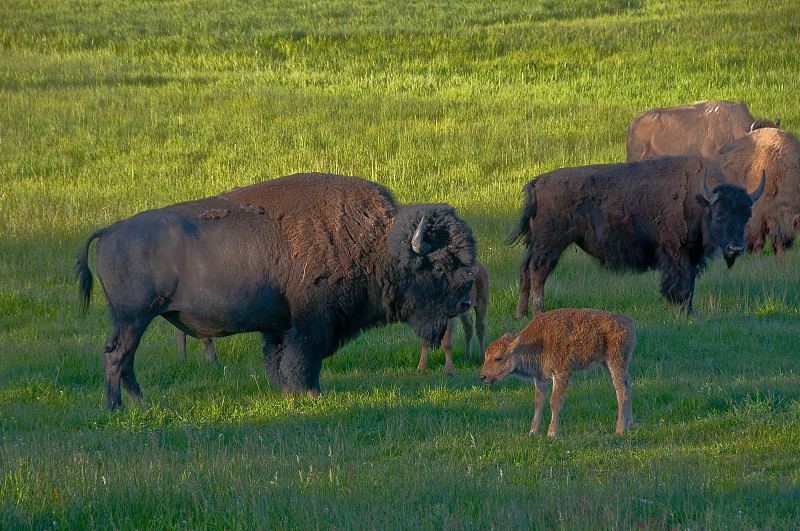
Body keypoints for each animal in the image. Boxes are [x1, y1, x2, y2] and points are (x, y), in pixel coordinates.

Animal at [75, 172, 476, 410]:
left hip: (134, 319)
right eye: (442, 265)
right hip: (134, 317)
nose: (464, 301)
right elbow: (304, 358)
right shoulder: (312, 322)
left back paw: (139, 402)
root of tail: (110, 231)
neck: (378, 243)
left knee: (125, 358)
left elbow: (280, 358)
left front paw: (288, 391)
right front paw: (310, 393)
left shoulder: (282, 327)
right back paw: (116, 407)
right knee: (117, 355)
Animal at [482, 308, 636, 436]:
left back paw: (619, 429)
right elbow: (539, 401)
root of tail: (629, 321)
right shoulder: (540, 378)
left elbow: (554, 401)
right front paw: (533, 431)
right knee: (627, 383)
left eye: (498, 358)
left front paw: (552, 433)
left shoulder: (562, 374)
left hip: (615, 361)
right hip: (608, 364)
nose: (483, 376)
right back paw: (630, 424)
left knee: (621, 390)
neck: (539, 340)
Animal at [510, 156, 764, 318]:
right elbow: (680, 283)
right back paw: (538, 313)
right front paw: (681, 312)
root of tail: (537, 182)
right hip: (551, 243)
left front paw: (688, 312)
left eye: (747, 215)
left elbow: (690, 283)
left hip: (537, 244)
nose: (735, 249)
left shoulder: (692, 255)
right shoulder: (676, 251)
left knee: (525, 271)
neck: (699, 198)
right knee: (538, 272)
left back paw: (520, 314)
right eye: (720, 215)